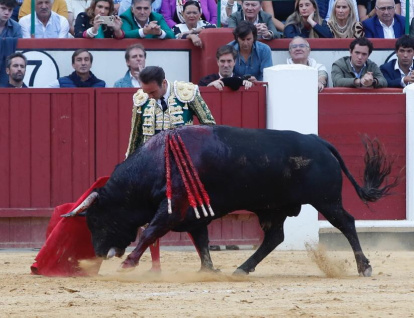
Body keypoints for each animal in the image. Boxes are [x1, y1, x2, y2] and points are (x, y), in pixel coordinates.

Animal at [82, 124, 396, 276]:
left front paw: (128, 264)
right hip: (274, 208)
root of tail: (317, 140)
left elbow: (149, 232)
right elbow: (201, 241)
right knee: (274, 238)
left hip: (326, 200)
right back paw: (242, 268)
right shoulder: (193, 214)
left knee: (346, 223)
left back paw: (364, 267)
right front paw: (208, 270)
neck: (158, 163)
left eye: (95, 219)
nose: (98, 253)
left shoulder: (174, 209)